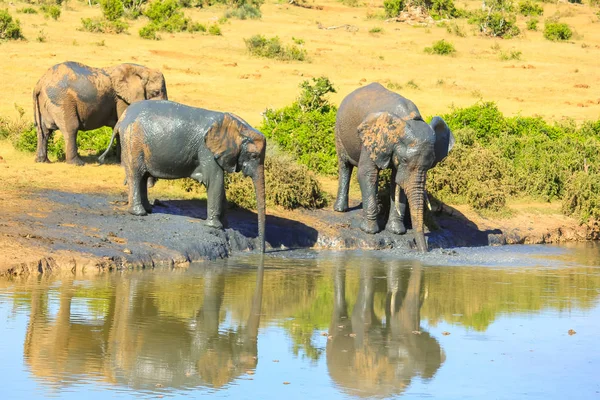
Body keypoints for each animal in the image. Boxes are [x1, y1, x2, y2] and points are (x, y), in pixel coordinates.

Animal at [34, 59, 168, 166]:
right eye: (156, 92)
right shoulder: (122, 99)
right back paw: (77, 163)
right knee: (71, 128)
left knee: (44, 131)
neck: (143, 70)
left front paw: (120, 161)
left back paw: (42, 161)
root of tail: (39, 83)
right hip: (61, 100)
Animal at [102, 99, 266, 252]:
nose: (262, 251)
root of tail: (122, 119)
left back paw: (148, 210)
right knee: (136, 176)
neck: (237, 127)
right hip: (133, 141)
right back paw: (139, 213)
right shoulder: (206, 150)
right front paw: (215, 226)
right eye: (253, 156)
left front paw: (225, 225)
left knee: (142, 177)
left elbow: (218, 186)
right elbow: (215, 181)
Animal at [332, 82, 454, 252]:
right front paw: (369, 231)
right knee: (345, 166)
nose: (424, 251)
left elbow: (398, 182)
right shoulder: (372, 139)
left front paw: (396, 232)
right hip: (339, 130)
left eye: (430, 165)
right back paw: (340, 209)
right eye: (404, 159)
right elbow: (367, 174)